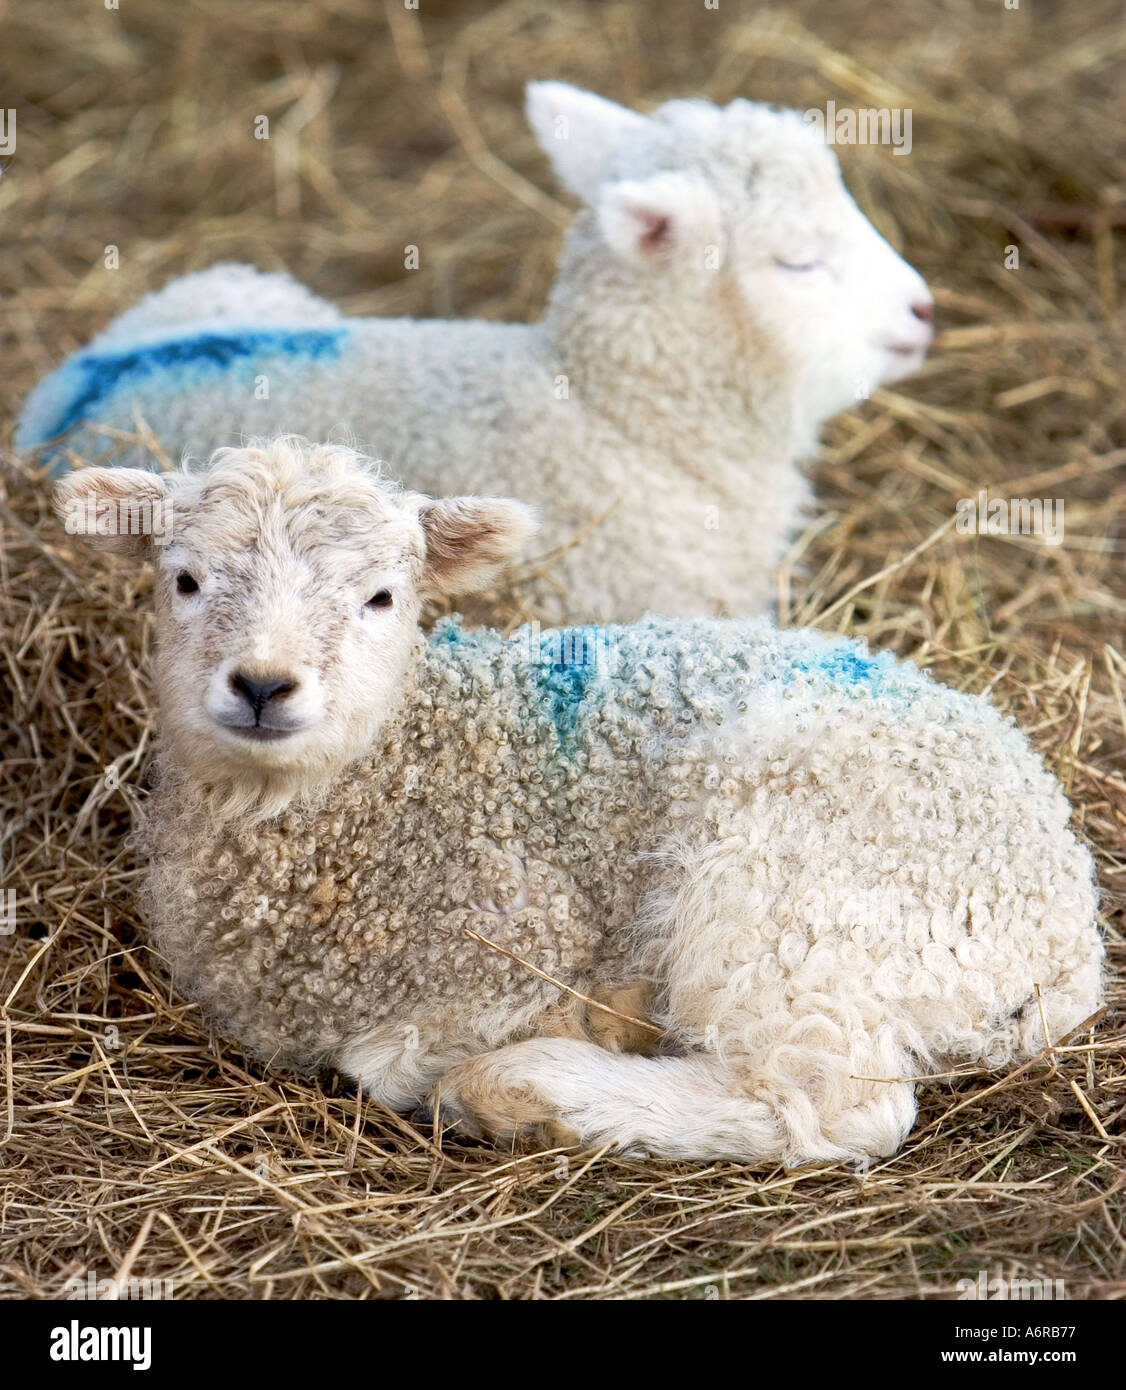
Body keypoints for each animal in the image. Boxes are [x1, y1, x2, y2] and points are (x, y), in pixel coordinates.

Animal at [53, 437, 1103, 1167]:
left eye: (383, 598)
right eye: (185, 581)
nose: (264, 685)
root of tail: (1068, 913)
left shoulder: (516, 941)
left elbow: (387, 1060)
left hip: (793, 880)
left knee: (829, 1103)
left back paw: (533, 1087)